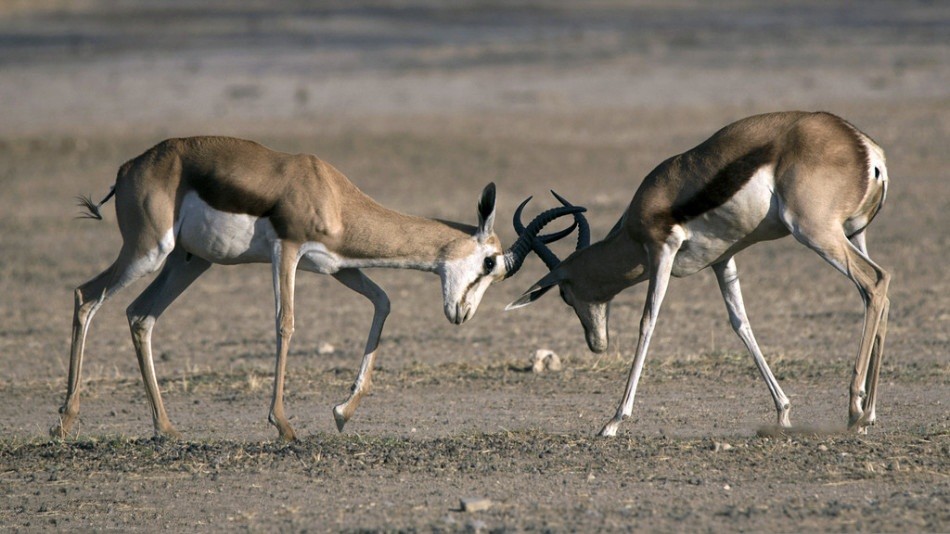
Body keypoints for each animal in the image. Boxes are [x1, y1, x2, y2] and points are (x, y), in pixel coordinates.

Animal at [57, 136, 588, 442]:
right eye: (490, 262)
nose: (462, 314)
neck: (331, 193)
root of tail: (130, 167)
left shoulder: (336, 267)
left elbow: (384, 302)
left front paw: (341, 413)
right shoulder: (287, 252)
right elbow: (286, 325)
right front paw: (285, 426)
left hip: (190, 262)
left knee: (140, 315)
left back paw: (166, 428)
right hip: (149, 250)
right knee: (87, 296)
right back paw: (65, 421)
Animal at [512, 111, 892, 438]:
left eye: (564, 294)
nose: (596, 344)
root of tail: (864, 147)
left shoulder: (662, 250)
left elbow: (648, 322)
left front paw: (614, 420)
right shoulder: (723, 260)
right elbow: (741, 324)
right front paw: (783, 412)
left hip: (815, 232)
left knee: (875, 281)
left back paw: (855, 412)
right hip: (854, 233)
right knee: (880, 294)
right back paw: (870, 414)